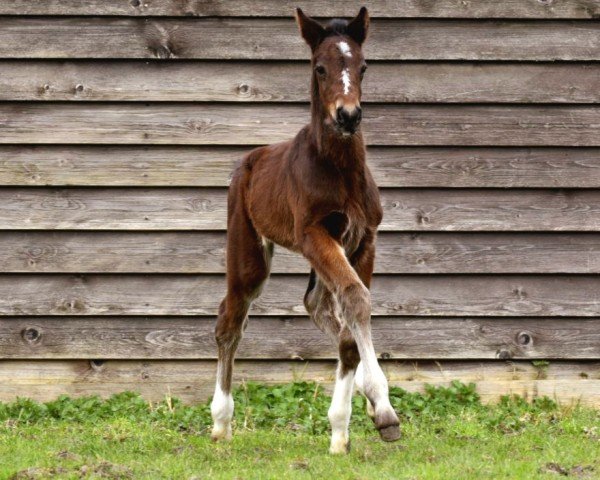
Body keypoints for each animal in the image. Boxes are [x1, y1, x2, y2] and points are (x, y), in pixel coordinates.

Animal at [211, 5, 404, 452]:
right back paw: (221, 422)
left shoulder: (363, 239)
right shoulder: (314, 233)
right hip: (248, 252)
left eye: (363, 66)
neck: (342, 171)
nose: (347, 116)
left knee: (316, 305)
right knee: (230, 319)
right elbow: (355, 299)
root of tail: (248, 161)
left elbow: (351, 319)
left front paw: (347, 427)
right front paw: (384, 411)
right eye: (319, 67)